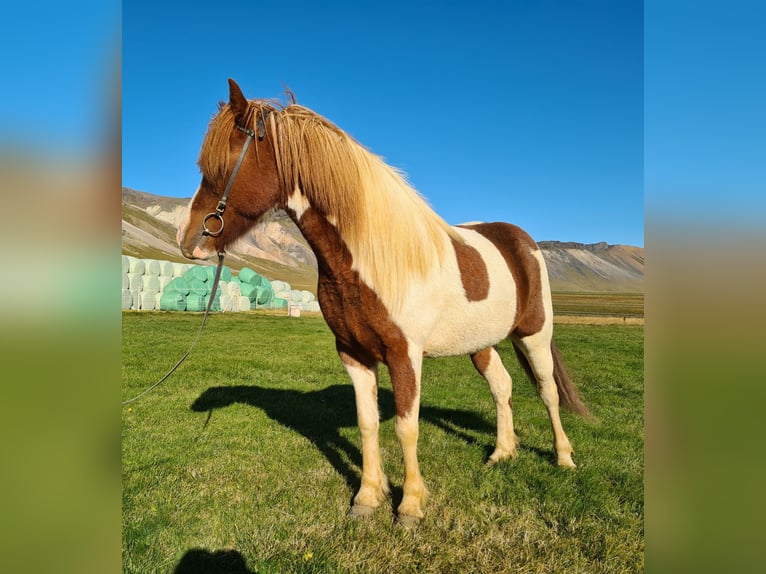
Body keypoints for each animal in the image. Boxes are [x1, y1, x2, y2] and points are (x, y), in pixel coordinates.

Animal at [177, 79, 592, 528]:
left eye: (223, 163)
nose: (186, 239)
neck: (368, 259)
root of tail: (521, 239)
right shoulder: (353, 353)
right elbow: (368, 424)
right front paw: (367, 497)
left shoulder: (404, 354)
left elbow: (406, 429)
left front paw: (410, 505)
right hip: (481, 343)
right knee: (503, 387)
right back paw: (501, 453)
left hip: (535, 334)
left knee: (548, 393)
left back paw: (563, 457)